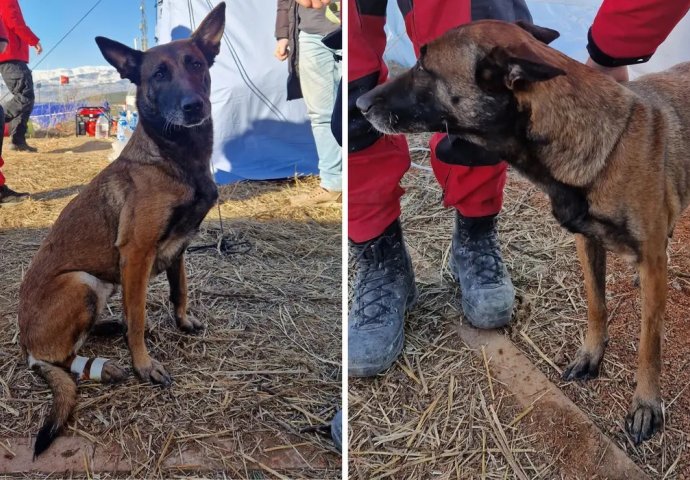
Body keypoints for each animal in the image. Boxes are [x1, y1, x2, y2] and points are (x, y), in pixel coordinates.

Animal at [18, 2, 226, 458]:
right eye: (158, 75)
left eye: (197, 64)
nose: (193, 106)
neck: (176, 158)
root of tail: (25, 345)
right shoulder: (137, 254)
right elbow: (140, 313)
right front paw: (143, 364)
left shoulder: (179, 249)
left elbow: (179, 291)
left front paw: (182, 322)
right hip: (80, 282)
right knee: (59, 358)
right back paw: (105, 363)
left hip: (100, 285)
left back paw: (109, 327)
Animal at [354, 20, 688, 444]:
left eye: (424, 68)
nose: (359, 103)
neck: (605, 146)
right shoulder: (587, 243)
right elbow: (596, 305)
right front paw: (592, 355)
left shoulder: (648, 261)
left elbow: (650, 343)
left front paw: (646, 403)